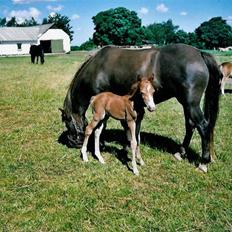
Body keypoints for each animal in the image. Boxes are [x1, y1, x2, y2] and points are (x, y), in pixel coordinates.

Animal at [59, 44, 221, 174]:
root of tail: (199, 53)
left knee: (203, 126)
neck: (96, 67)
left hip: (190, 104)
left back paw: (203, 163)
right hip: (186, 104)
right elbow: (128, 132)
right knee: (190, 125)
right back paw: (180, 153)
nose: (71, 142)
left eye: (66, 122)